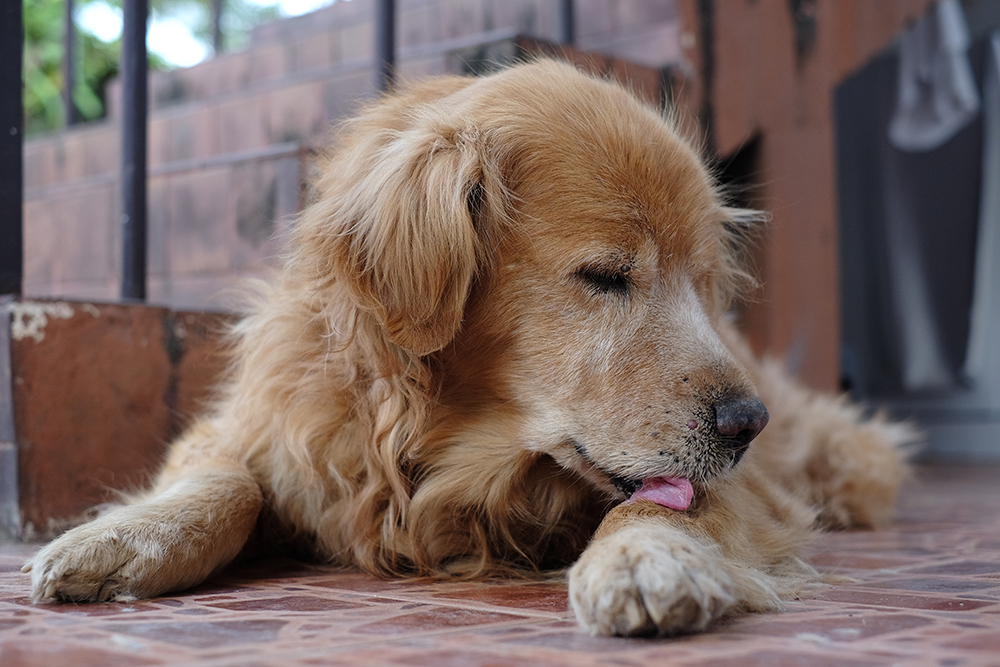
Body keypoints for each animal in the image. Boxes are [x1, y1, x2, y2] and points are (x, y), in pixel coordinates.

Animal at [25, 61, 916, 636]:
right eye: (605, 275)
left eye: (700, 282)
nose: (746, 423)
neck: (437, 444)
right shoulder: (260, 427)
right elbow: (228, 481)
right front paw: (121, 539)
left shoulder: (751, 490)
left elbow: (664, 504)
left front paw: (645, 556)